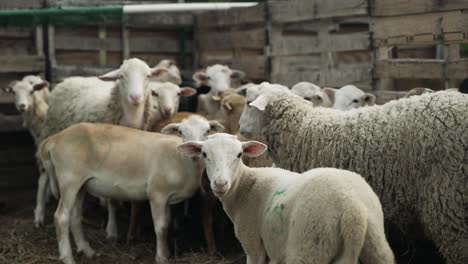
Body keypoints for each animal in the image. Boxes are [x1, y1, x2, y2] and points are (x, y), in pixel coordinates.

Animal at [34, 57, 170, 229]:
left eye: (148, 76)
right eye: (121, 77)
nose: (135, 97)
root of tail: (68, 79)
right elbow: (112, 198)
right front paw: (112, 228)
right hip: (50, 130)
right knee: (42, 177)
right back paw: (39, 215)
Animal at [38, 116, 225, 264]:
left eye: (207, 131)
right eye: (181, 132)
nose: (196, 152)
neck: (179, 159)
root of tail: (54, 139)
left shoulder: (167, 199)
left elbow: (168, 225)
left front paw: (167, 252)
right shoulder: (157, 194)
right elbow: (161, 228)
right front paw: (161, 258)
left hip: (81, 184)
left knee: (75, 216)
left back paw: (87, 250)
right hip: (69, 178)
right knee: (61, 217)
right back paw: (67, 258)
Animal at [177, 134, 394, 264]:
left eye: (239, 154)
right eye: (204, 154)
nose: (220, 183)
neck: (244, 188)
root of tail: (352, 208)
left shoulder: (253, 244)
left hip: (310, 245)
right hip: (377, 245)